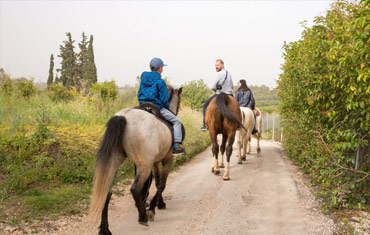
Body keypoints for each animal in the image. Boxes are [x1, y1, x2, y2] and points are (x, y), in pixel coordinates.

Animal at [89, 87, 182, 234]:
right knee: (135, 188)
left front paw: (159, 204)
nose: (177, 110)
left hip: (115, 163)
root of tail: (123, 117)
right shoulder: (167, 159)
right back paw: (142, 216)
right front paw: (152, 209)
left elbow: (157, 182)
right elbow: (161, 184)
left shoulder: (155, 162)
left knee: (106, 192)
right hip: (144, 166)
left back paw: (105, 228)